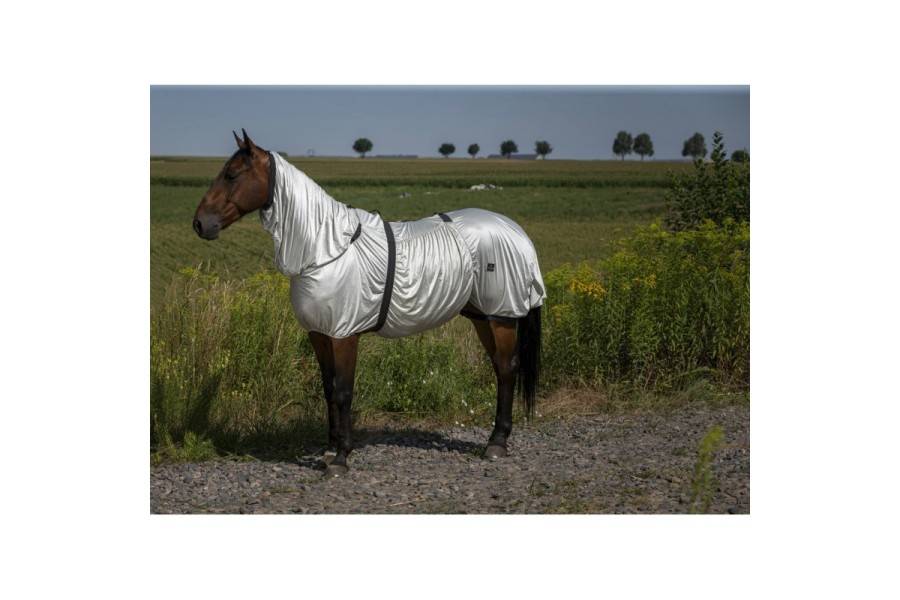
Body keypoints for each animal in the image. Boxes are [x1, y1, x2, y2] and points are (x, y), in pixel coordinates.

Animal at [193, 130, 546, 477]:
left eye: (231, 174)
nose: (200, 224)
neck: (325, 248)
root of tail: (515, 230)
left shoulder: (344, 334)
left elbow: (343, 391)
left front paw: (341, 458)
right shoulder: (319, 333)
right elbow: (327, 389)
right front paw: (330, 449)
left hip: (501, 316)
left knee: (507, 368)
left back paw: (497, 443)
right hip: (482, 315)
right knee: (500, 367)